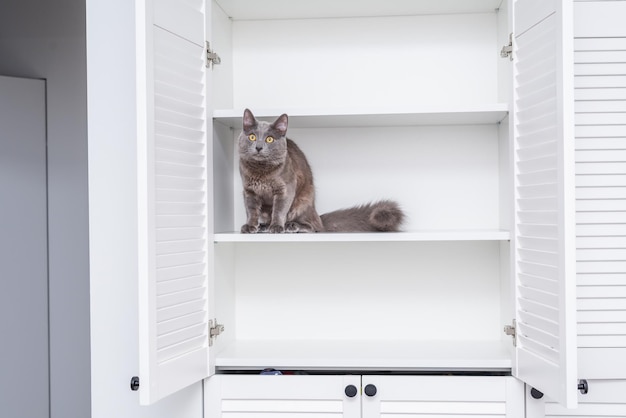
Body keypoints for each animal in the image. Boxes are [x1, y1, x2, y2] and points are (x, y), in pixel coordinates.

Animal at [236, 108, 402, 233]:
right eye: (252, 137)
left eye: (269, 139)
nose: (258, 147)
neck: (261, 171)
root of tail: (317, 214)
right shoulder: (249, 191)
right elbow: (251, 210)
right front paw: (250, 226)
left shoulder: (285, 189)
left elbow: (279, 210)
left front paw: (276, 227)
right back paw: (263, 226)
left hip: (303, 201)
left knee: (315, 227)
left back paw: (292, 226)